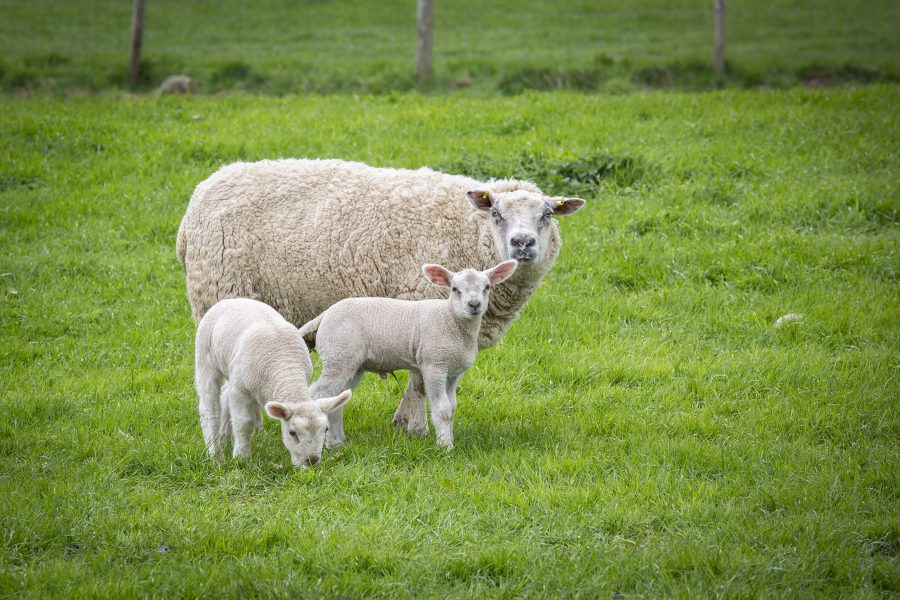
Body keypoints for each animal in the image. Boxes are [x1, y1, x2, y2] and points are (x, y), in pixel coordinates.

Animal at [193, 298, 352, 466]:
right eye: (292, 432)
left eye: (326, 429)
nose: (311, 460)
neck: (285, 368)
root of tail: (232, 299)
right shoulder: (240, 390)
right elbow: (244, 423)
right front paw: (242, 457)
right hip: (205, 359)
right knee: (209, 409)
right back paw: (216, 455)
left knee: (224, 395)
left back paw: (223, 438)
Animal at [300, 258, 516, 450]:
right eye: (455, 289)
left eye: (487, 287)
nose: (474, 305)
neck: (450, 319)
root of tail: (325, 314)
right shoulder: (434, 365)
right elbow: (443, 410)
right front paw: (445, 447)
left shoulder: (454, 372)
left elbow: (453, 407)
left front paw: (449, 439)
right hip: (338, 356)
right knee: (317, 395)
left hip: (352, 364)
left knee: (337, 400)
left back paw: (336, 444)